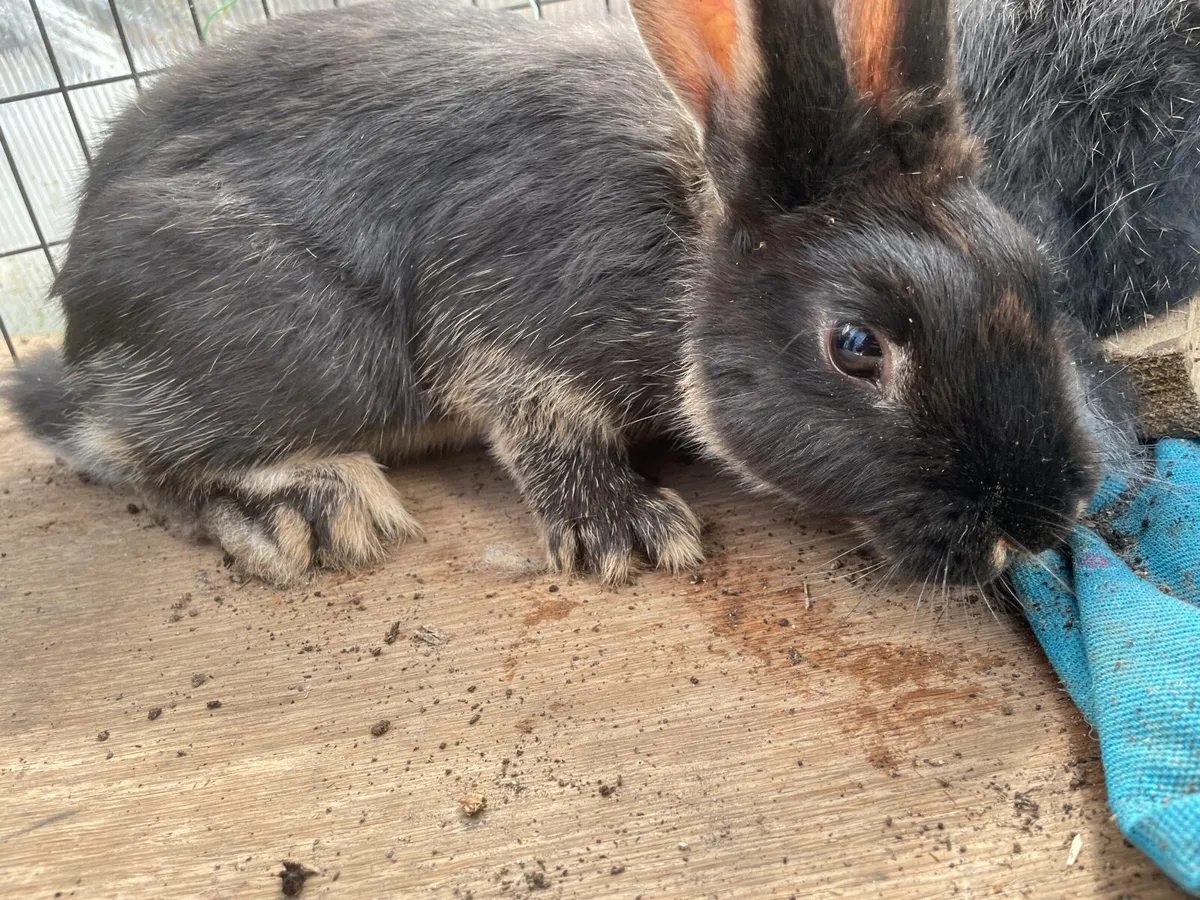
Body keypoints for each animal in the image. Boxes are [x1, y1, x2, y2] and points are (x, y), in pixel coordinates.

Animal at [3, 0, 1111, 592]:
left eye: (1035, 276)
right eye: (856, 345)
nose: (1042, 519)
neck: (686, 240)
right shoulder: (511, 325)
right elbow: (539, 415)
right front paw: (627, 531)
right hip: (307, 351)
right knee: (126, 448)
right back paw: (306, 508)